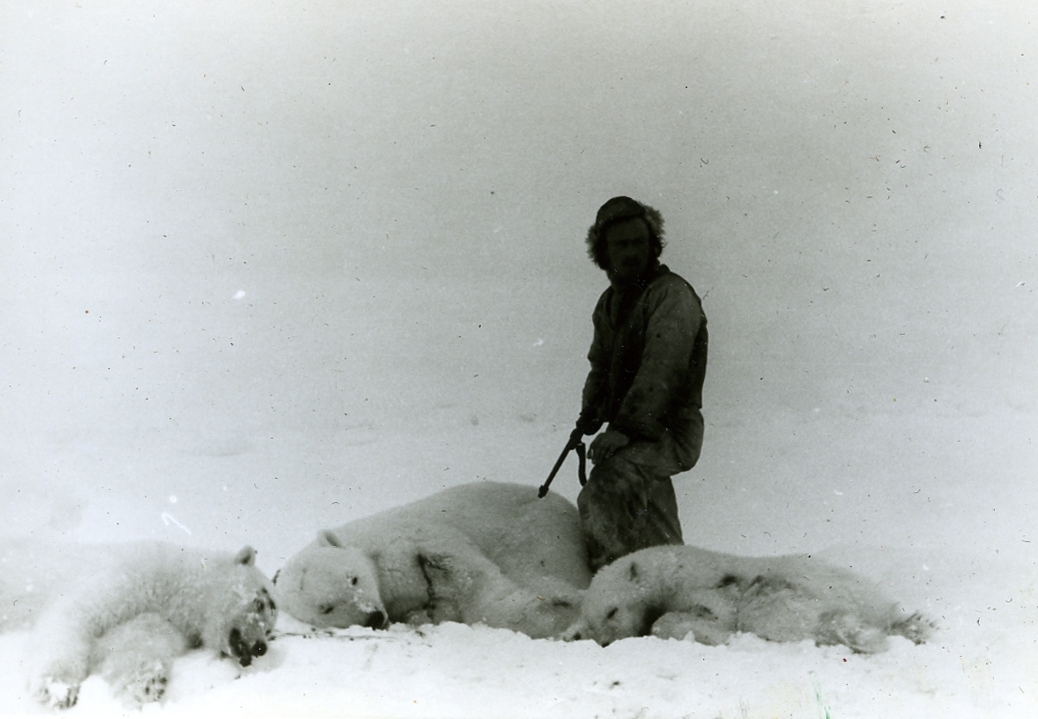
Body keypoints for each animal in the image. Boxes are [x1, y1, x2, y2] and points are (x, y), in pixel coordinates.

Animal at [0, 539, 278, 705]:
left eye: (271, 631)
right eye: (261, 601)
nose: (261, 647)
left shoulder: (166, 619)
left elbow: (137, 641)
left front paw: (147, 684)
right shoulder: (128, 575)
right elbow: (73, 617)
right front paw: (57, 689)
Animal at [276, 479, 593, 634]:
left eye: (353, 578)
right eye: (326, 608)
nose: (374, 617)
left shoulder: (410, 539)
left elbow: (468, 573)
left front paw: (556, 605)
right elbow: (436, 608)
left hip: (538, 533)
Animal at [564, 543, 938, 651]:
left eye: (612, 610)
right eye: (596, 617)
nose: (604, 643)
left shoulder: (707, 585)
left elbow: (711, 612)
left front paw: (709, 632)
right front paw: (572, 632)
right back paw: (911, 627)